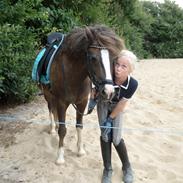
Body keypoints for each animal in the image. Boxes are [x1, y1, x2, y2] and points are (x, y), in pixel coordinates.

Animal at [39, 25, 123, 164]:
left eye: (113, 58)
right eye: (93, 58)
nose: (109, 91)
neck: (74, 76)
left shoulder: (82, 103)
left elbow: (79, 126)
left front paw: (80, 150)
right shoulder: (62, 103)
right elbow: (63, 130)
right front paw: (60, 157)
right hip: (48, 95)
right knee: (51, 109)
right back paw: (52, 128)